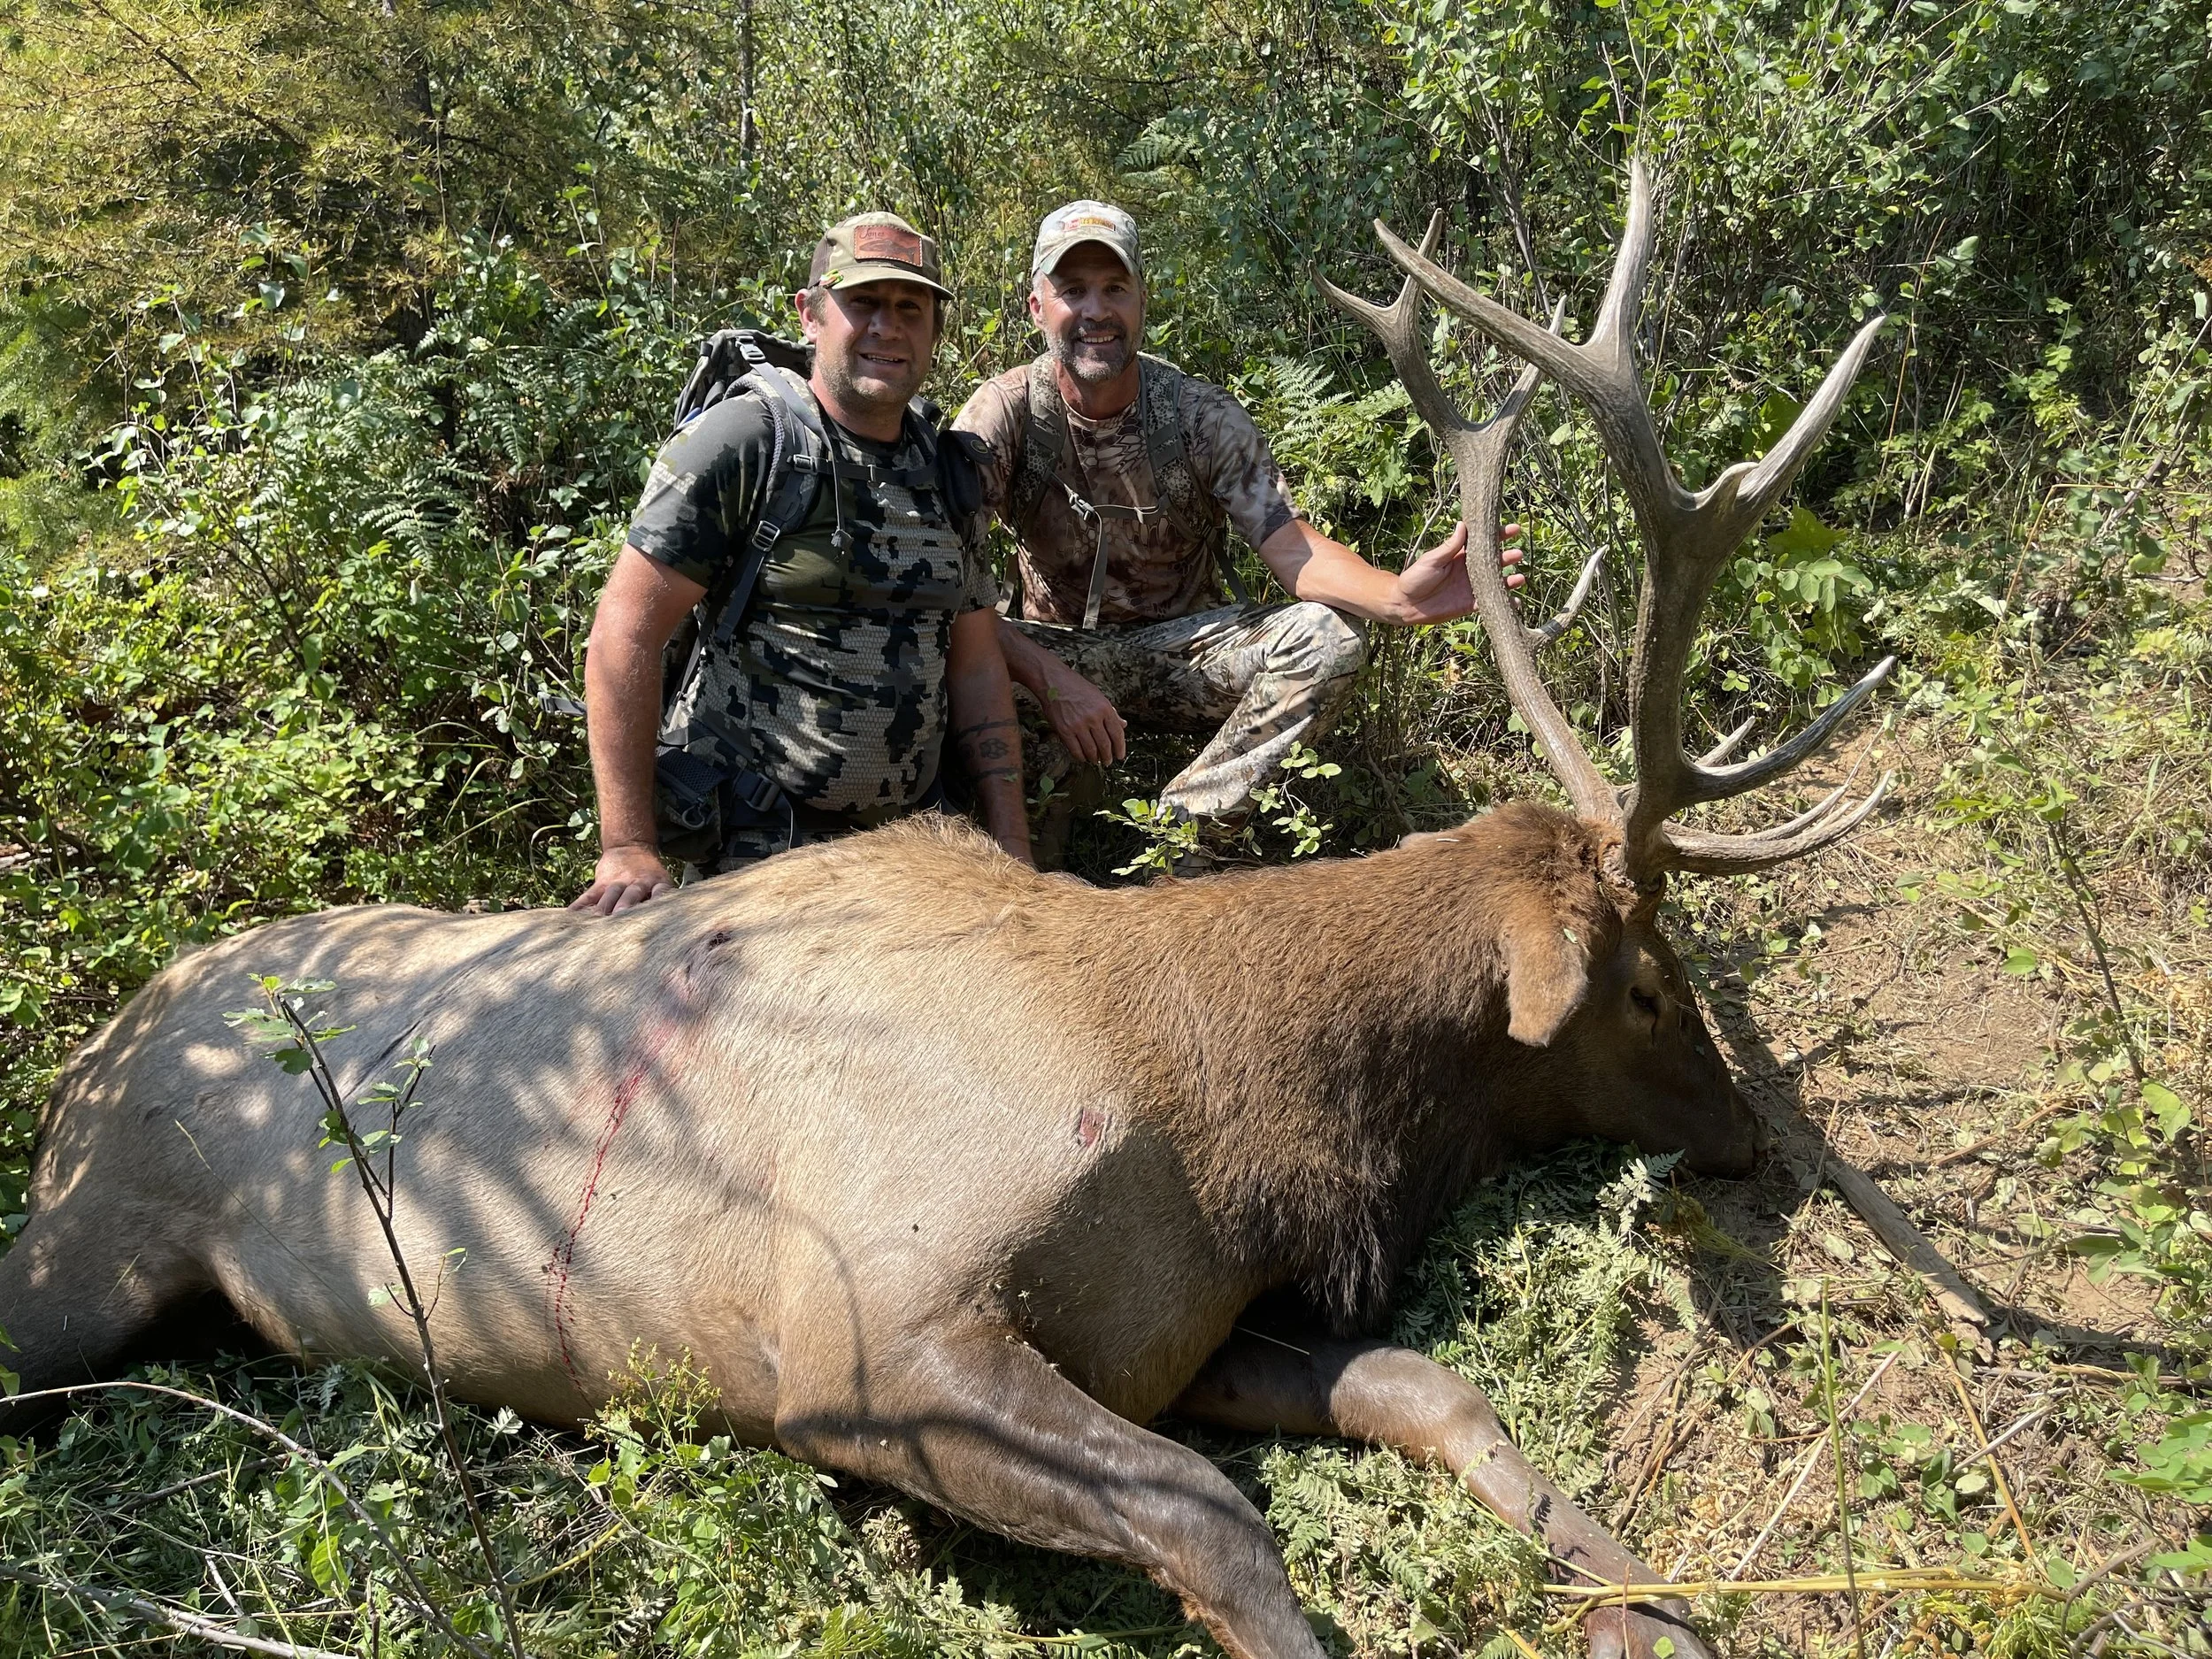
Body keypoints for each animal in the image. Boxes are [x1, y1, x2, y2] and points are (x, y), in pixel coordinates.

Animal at [2, 162, 1892, 1659]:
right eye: (1646, 984)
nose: (1751, 1136)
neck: (1227, 1108)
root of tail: (88, 1053)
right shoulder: (861, 1338)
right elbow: (1216, 1522)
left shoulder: (1175, 1331)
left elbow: (1432, 1389)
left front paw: (1650, 1606)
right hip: (88, 1244)